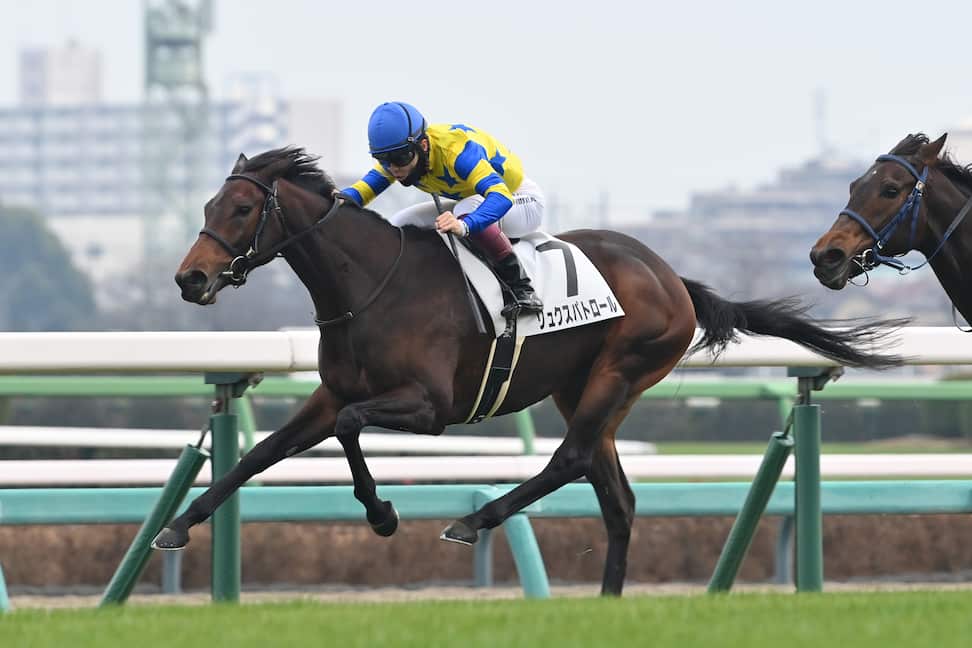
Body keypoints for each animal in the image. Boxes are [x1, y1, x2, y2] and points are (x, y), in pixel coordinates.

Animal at [157, 147, 902, 596]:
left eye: (242, 209)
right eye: (208, 208)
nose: (190, 278)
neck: (371, 285)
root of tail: (673, 278)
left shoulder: (428, 407)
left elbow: (348, 427)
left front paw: (383, 514)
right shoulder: (333, 390)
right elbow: (262, 455)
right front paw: (177, 525)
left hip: (620, 369)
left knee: (570, 460)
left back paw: (475, 519)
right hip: (586, 390)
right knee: (615, 494)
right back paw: (605, 600)